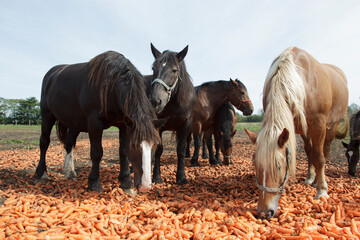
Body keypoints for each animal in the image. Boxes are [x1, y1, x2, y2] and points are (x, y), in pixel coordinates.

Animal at [34, 51, 161, 193]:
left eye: (155, 146)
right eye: (134, 146)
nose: (145, 186)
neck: (111, 86)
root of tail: (51, 74)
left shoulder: (124, 124)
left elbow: (123, 152)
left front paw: (126, 183)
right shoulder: (95, 123)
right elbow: (96, 152)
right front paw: (94, 183)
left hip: (74, 123)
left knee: (69, 144)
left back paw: (69, 172)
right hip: (47, 115)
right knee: (44, 143)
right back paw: (40, 174)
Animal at [147, 43, 197, 184]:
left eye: (174, 70)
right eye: (153, 68)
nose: (155, 101)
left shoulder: (185, 125)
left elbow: (181, 150)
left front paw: (181, 177)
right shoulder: (159, 125)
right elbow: (159, 150)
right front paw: (157, 177)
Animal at [245, 47, 348, 219]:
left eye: (279, 166)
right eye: (255, 164)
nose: (264, 212)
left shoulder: (319, 125)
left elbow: (319, 158)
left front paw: (322, 190)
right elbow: (310, 154)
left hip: (330, 127)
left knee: (324, 151)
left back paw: (318, 181)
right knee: (309, 151)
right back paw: (310, 178)